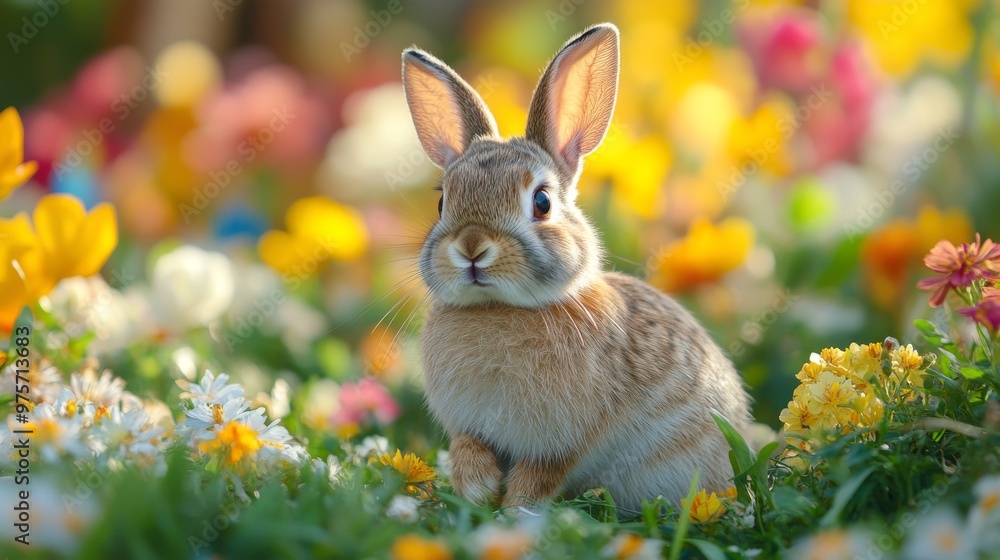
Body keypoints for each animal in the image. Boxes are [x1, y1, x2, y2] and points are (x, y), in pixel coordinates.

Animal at [402, 22, 753, 511]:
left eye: (542, 202)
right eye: (442, 202)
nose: (472, 247)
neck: (500, 308)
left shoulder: (563, 441)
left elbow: (540, 475)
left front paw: (512, 510)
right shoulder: (468, 426)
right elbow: (467, 446)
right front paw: (477, 487)